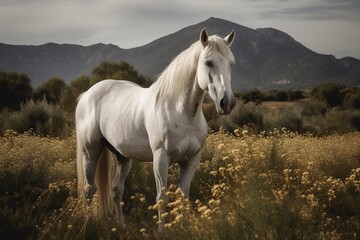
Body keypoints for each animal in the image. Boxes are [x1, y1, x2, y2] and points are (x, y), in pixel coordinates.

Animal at [76, 28, 236, 227]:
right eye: (208, 62)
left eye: (231, 63)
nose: (227, 103)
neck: (183, 112)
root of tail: (87, 94)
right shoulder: (161, 158)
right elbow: (162, 198)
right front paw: (163, 230)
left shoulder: (191, 160)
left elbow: (183, 197)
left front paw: (183, 227)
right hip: (90, 152)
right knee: (89, 190)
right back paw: (87, 224)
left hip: (122, 156)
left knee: (116, 190)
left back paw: (121, 226)